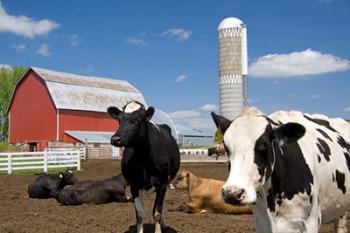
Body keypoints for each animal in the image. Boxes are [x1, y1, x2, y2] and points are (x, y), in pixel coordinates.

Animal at [108, 101, 180, 233]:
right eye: (119, 120)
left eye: (137, 120)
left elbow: (157, 212)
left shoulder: (162, 183)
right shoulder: (134, 185)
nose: (115, 139)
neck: (143, 158)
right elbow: (140, 214)